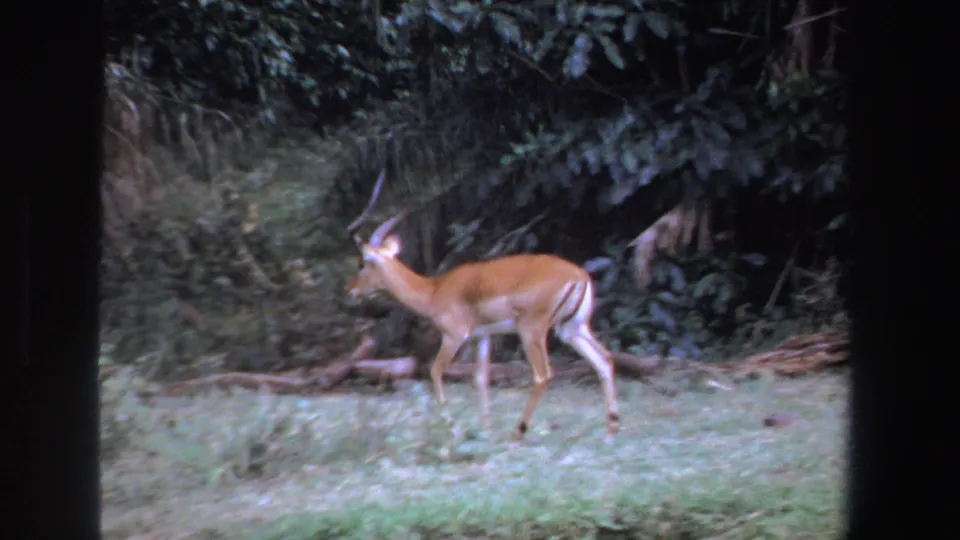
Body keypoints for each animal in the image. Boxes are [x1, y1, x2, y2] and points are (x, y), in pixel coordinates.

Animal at [346, 170, 620, 443]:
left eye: (362, 263)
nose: (351, 291)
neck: (435, 290)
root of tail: (580, 275)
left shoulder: (454, 336)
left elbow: (435, 371)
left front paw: (453, 429)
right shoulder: (483, 337)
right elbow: (480, 379)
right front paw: (485, 428)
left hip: (532, 330)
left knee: (543, 375)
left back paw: (518, 431)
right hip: (571, 329)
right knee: (604, 360)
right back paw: (610, 431)